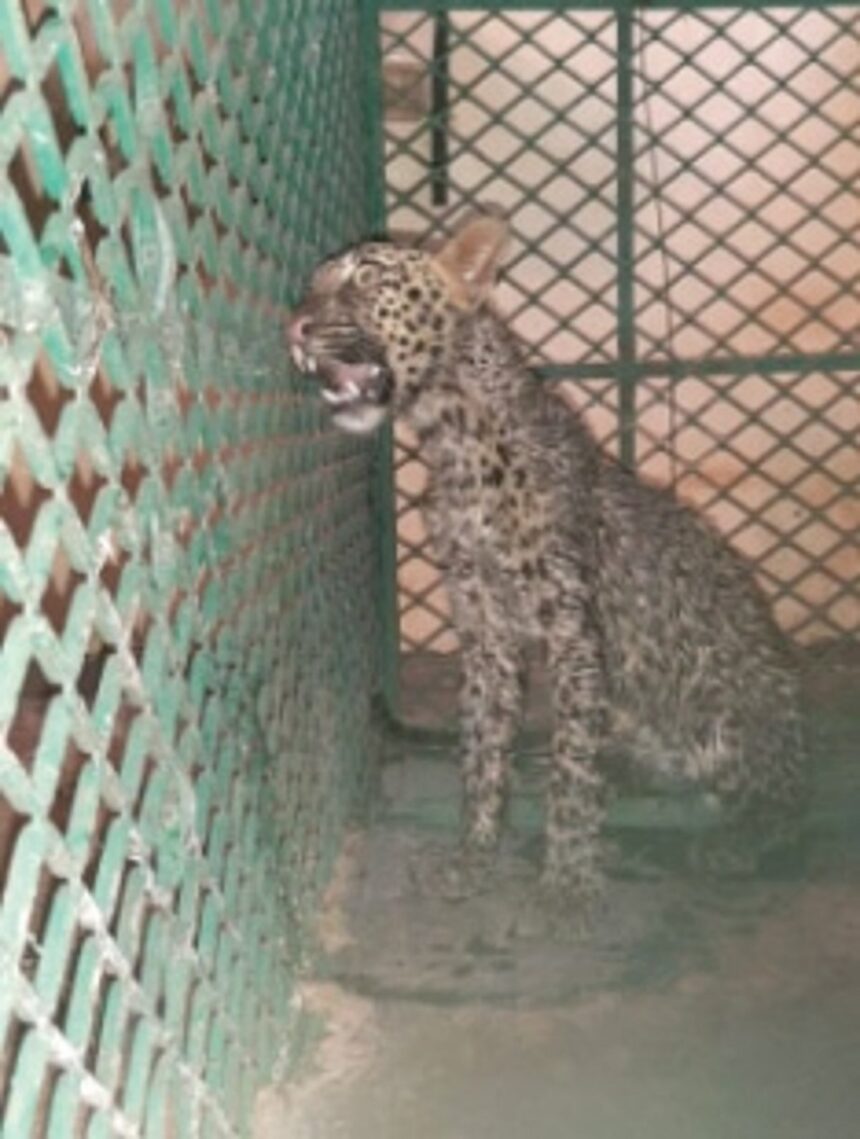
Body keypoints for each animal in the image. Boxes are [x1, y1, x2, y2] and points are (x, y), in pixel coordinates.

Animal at [287, 212, 807, 907]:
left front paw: (564, 885)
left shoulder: (573, 634)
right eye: (314, 284)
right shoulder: (484, 631)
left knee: (781, 799)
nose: (294, 327)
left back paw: (737, 838)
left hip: (729, 708)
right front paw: (474, 857)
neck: (452, 438)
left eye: (367, 278)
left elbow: (571, 770)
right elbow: (482, 750)